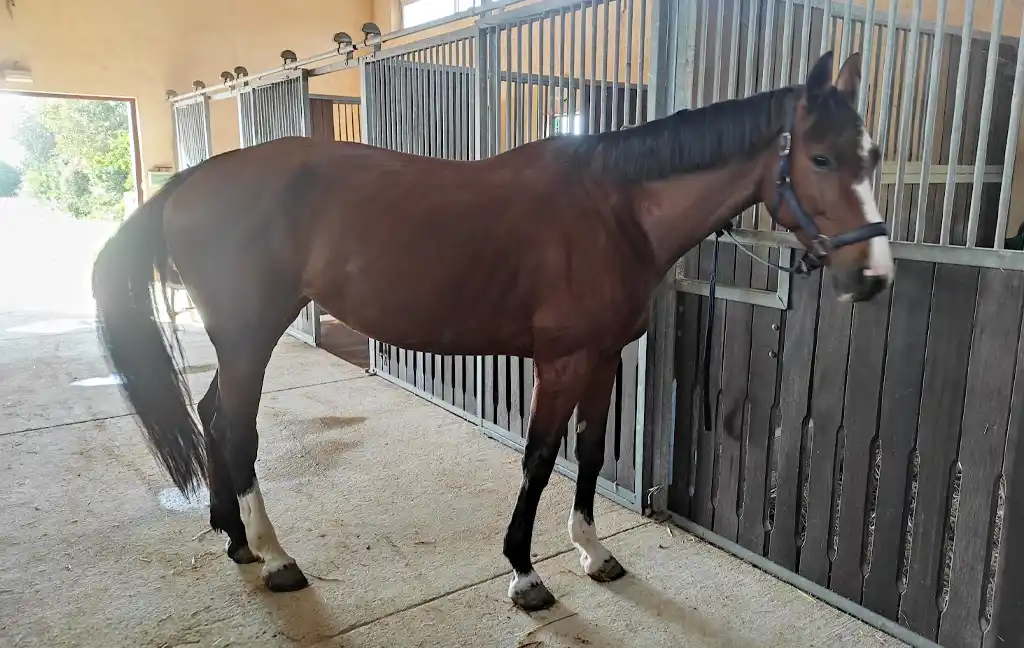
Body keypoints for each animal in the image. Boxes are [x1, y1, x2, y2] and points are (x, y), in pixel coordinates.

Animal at [91, 51, 893, 612]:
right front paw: (525, 572)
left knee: (211, 414)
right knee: (237, 429)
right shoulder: (561, 363)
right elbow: (538, 460)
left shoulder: (604, 359)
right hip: (249, 335)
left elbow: (590, 455)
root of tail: (190, 182)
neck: (615, 212)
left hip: (240, 342)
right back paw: (276, 555)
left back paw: (234, 539)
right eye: (820, 157)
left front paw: (593, 552)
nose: (875, 276)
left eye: (874, 155)